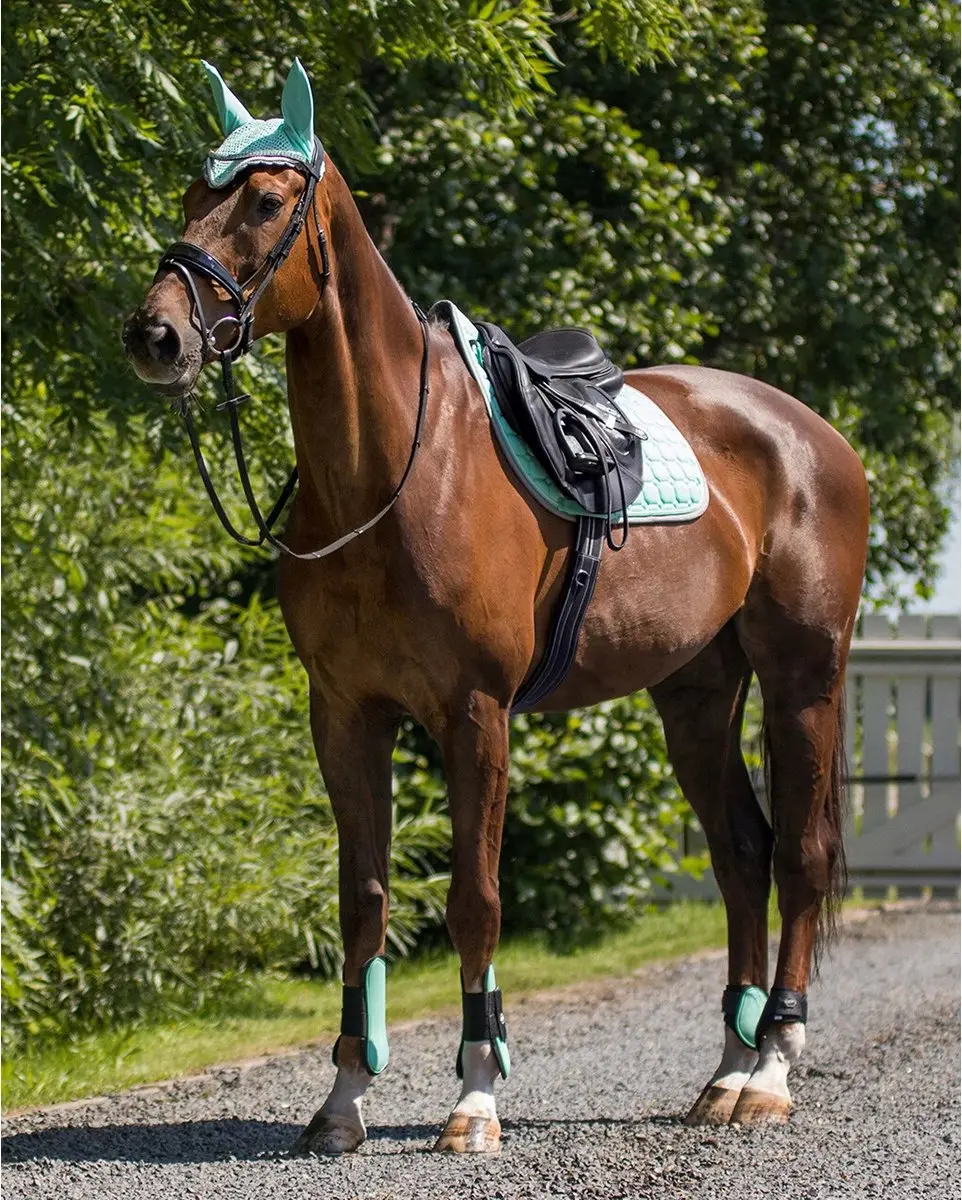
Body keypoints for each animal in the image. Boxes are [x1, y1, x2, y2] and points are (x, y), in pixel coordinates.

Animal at [123, 61, 870, 1155]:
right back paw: (726, 1073)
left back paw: (770, 1070)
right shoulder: (345, 715)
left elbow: (473, 901)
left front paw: (475, 1096)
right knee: (742, 855)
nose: (156, 335)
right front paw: (342, 1099)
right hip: (695, 694)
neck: (390, 475)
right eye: (190, 196)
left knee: (802, 859)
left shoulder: (473, 715)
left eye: (262, 202)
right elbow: (362, 901)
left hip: (801, 676)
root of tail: (812, 434)